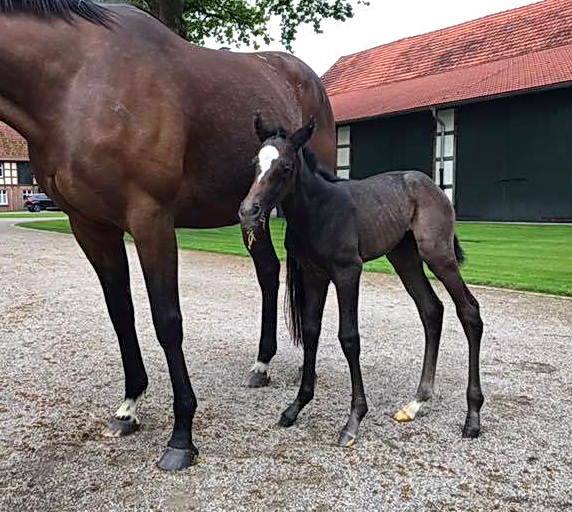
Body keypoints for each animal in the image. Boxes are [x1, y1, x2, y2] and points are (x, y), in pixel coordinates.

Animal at [239, 115, 484, 444]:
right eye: (256, 163)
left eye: (286, 167)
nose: (248, 211)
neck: (319, 210)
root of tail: (432, 185)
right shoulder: (315, 274)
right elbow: (311, 331)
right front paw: (296, 407)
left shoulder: (347, 271)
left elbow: (349, 337)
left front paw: (353, 420)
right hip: (404, 258)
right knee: (431, 310)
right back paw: (416, 403)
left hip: (438, 254)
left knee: (469, 310)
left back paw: (472, 417)